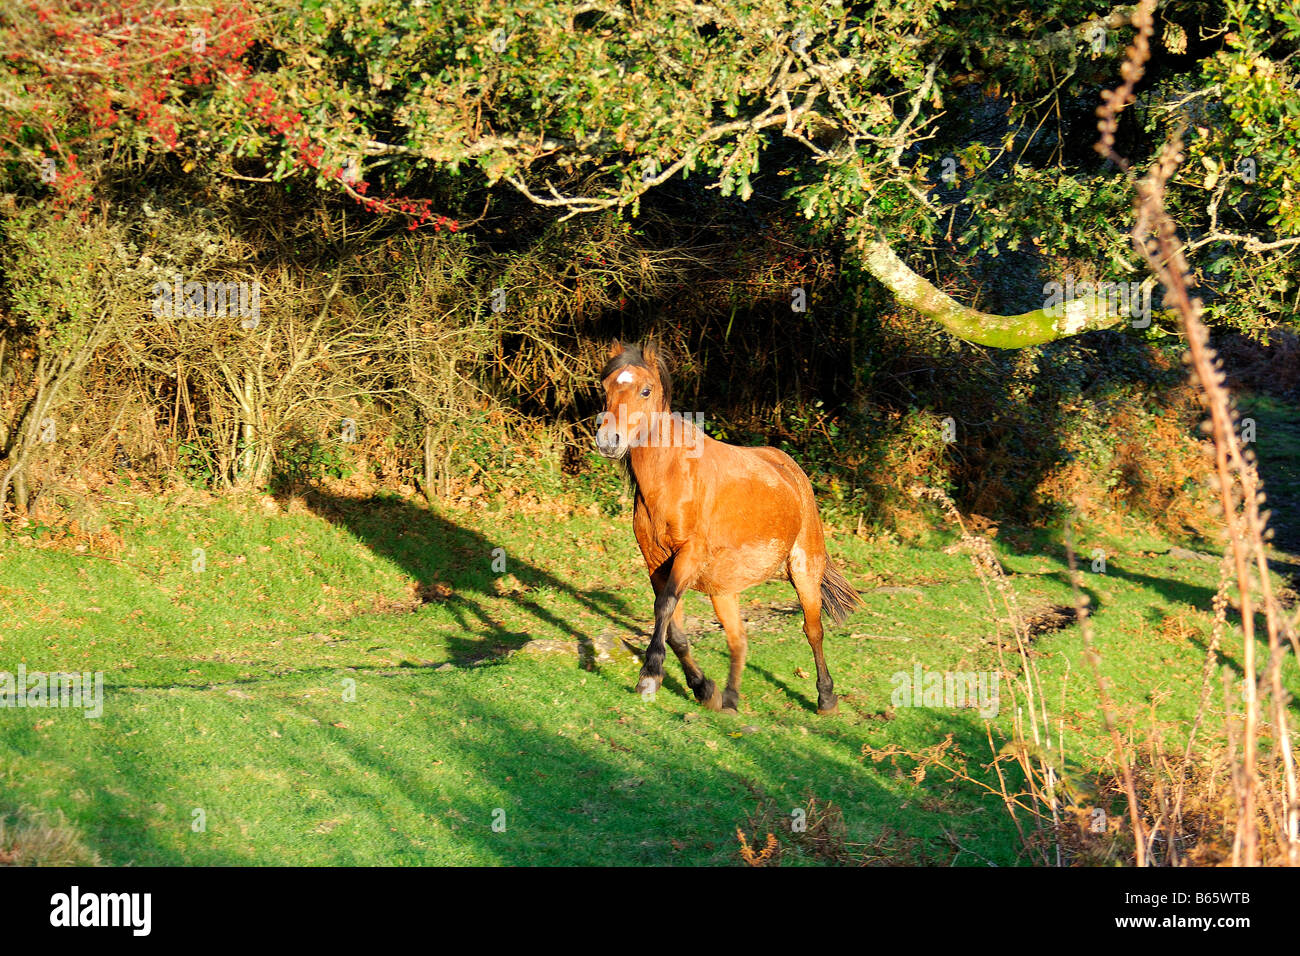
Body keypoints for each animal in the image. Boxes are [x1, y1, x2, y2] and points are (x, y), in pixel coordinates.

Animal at [592, 340, 857, 712]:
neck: (671, 478)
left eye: (645, 390)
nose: (608, 441)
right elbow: (673, 627)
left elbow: (664, 609)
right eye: (605, 387)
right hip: (724, 589)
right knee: (738, 639)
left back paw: (826, 697)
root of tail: (791, 470)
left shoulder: (688, 554)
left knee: (812, 629)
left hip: (805, 568)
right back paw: (730, 700)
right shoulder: (656, 562)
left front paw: (649, 676)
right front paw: (704, 688)